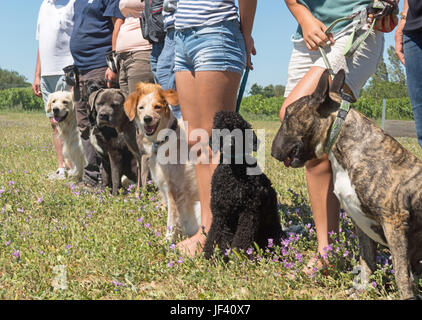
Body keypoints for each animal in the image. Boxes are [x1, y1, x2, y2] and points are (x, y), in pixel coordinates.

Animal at [123, 84, 201, 241]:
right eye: (141, 107)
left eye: (157, 107)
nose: (147, 118)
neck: (165, 139)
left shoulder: (175, 192)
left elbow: (171, 223)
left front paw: (168, 243)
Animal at [270, 68, 422, 300]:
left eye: (288, 116)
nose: (271, 151)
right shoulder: (362, 225)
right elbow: (367, 262)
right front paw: (364, 289)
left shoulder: (394, 222)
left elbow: (401, 274)